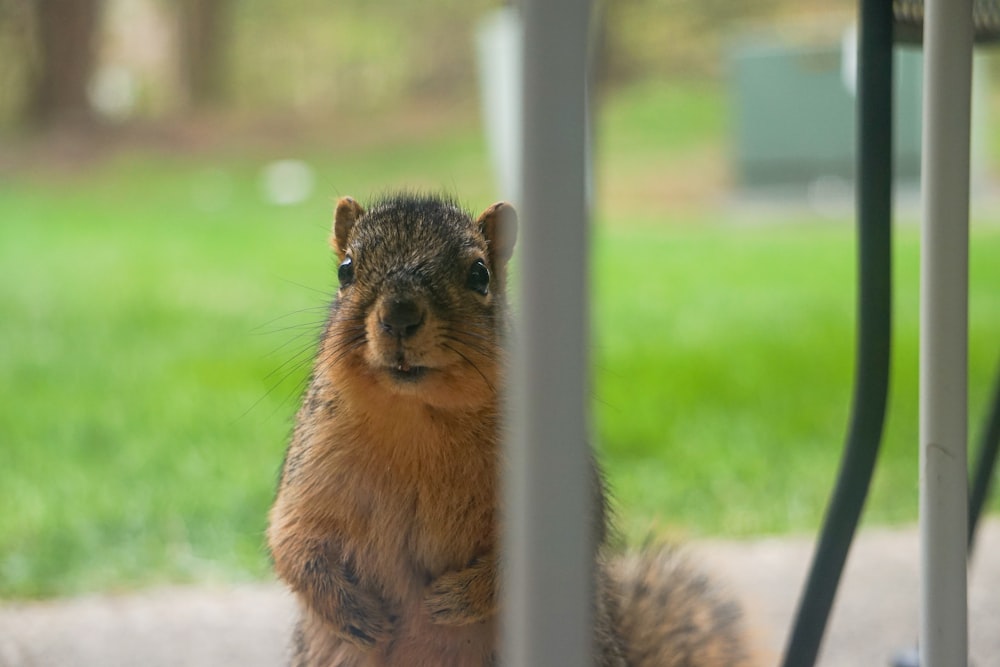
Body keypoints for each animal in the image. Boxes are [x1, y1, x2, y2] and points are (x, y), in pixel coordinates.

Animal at [266, 194, 752, 667]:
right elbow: (292, 539)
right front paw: (355, 615)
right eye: (346, 270)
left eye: (480, 274)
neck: (417, 418)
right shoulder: (312, 469)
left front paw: (453, 601)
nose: (400, 314)